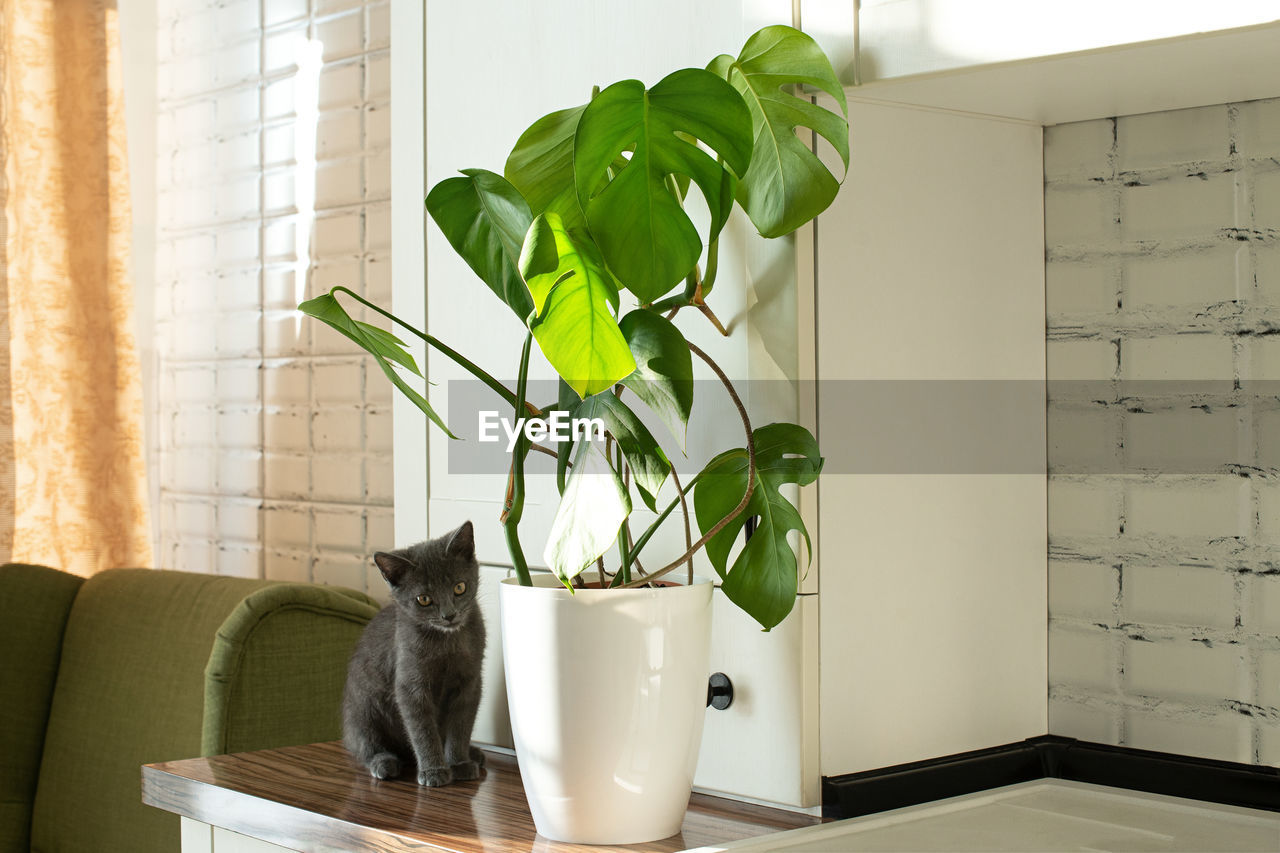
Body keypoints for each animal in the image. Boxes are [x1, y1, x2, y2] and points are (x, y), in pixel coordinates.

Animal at [343, 517, 486, 783]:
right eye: (424, 599)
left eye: (459, 587)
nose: (449, 615)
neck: (447, 643)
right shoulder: (410, 685)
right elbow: (422, 729)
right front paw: (434, 771)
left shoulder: (470, 681)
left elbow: (461, 725)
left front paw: (459, 762)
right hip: (363, 708)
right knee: (363, 745)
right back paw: (384, 763)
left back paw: (475, 753)